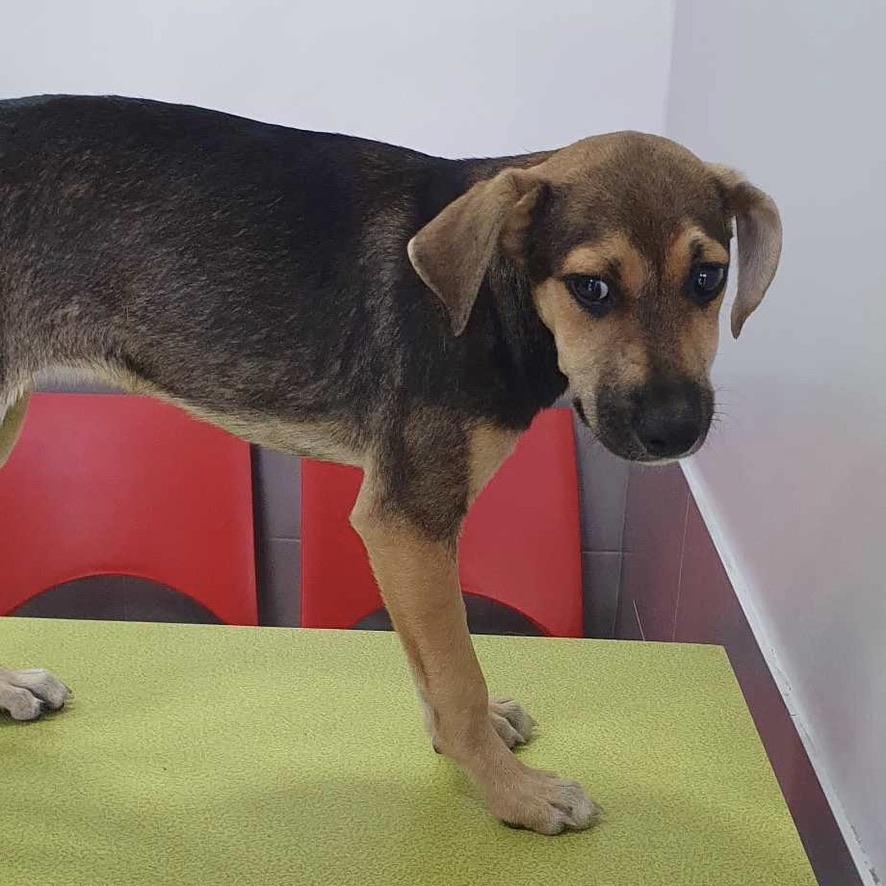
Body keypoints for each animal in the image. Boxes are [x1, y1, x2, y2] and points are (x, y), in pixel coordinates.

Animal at [0, 95, 784, 832]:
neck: (494, 296)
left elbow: (428, 658)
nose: (675, 431)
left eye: (709, 277)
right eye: (590, 287)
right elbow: (457, 673)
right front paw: (516, 795)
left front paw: (473, 749)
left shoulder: (403, 532)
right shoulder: (409, 516)